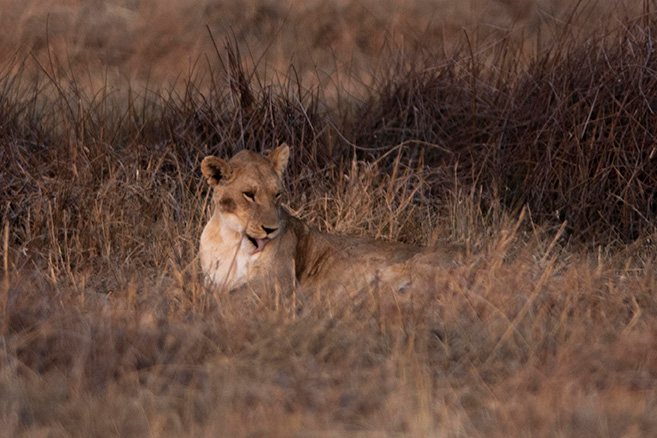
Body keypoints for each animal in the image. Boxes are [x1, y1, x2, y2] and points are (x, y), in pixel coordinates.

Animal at [199, 144, 441, 295]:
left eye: (277, 195)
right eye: (248, 194)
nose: (271, 230)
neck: (231, 240)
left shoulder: (278, 281)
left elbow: (231, 297)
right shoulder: (211, 280)